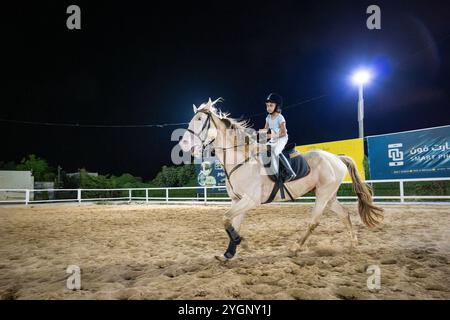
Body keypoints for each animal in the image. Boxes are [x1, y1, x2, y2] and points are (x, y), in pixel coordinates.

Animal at [179, 97, 384, 260]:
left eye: (199, 119)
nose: (183, 144)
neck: (241, 160)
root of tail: (337, 158)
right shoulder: (238, 200)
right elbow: (231, 222)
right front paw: (229, 253)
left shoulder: (250, 200)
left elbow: (225, 219)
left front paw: (241, 242)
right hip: (329, 196)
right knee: (344, 214)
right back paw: (353, 245)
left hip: (323, 195)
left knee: (314, 222)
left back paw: (295, 248)